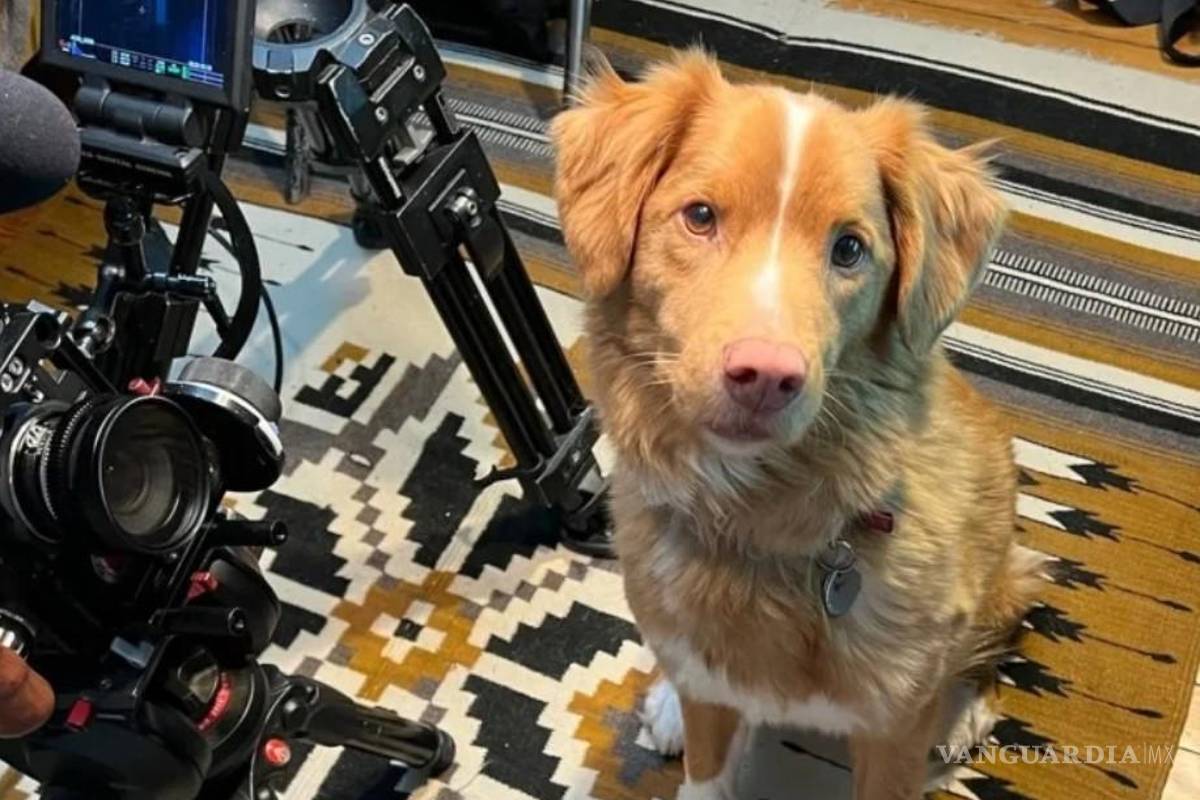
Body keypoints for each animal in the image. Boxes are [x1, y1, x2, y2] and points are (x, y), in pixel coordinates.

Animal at [551, 53, 1046, 800]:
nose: (766, 376)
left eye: (849, 249)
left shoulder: (893, 731)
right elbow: (704, 767)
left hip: (1002, 567)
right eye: (700, 216)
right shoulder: (710, 685)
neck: (759, 520)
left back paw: (964, 709)